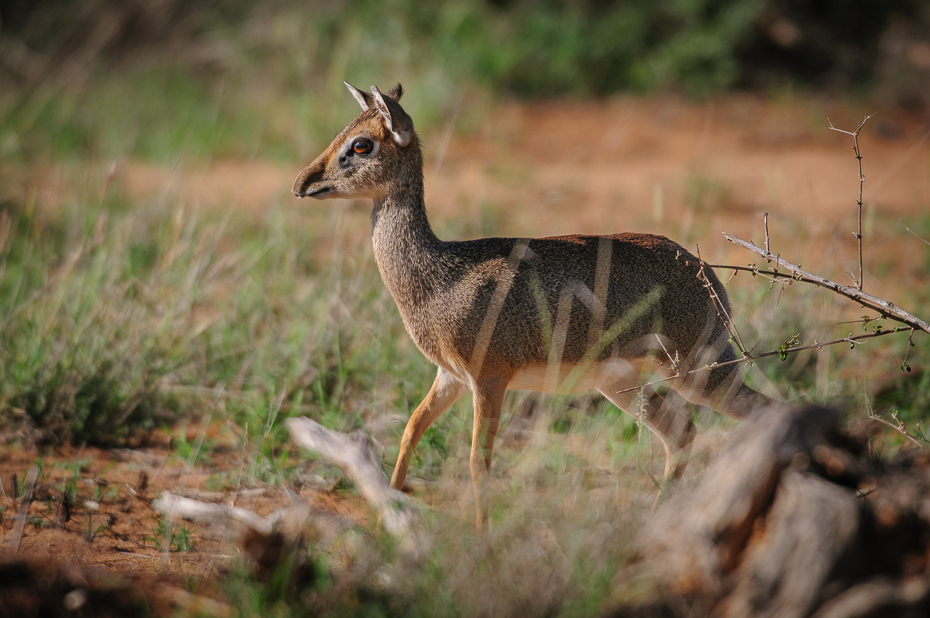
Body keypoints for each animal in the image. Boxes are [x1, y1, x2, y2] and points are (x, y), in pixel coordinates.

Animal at [296, 82, 768, 524]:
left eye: (361, 144)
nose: (302, 182)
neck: (439, 276)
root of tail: (708, 275)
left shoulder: (489, 377)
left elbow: (477, 462)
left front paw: (480, 536)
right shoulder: (450, 376)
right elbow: (411, 429)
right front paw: (389, 511)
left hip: (697, 370)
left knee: (761, 413)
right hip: (622, 383)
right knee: (682, 432)